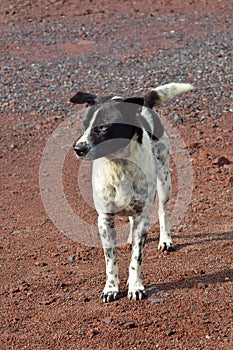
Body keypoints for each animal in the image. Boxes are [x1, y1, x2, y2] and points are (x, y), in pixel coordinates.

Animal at [71, 83, 193, 302]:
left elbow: (136, 258)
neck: (118, 165)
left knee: (163, 211)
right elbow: (110, 261)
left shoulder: (143, 217)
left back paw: (165, 240)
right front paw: (111, 288)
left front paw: (135, 286)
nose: (78, 149)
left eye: (103, 126)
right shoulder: (105, 220)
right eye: (84, 125)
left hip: (164, 182)